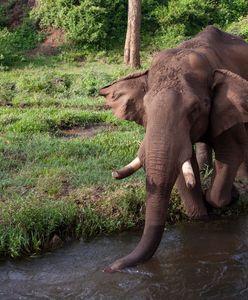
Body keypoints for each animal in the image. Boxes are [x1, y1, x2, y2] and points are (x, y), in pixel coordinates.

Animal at [99, 27, 248, 274]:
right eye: (145, 107)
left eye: (195, 109)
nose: (111, 267)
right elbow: (181, 167)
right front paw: (200, 216)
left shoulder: (228, 108)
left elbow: (231, 152)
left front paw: (229, 196)